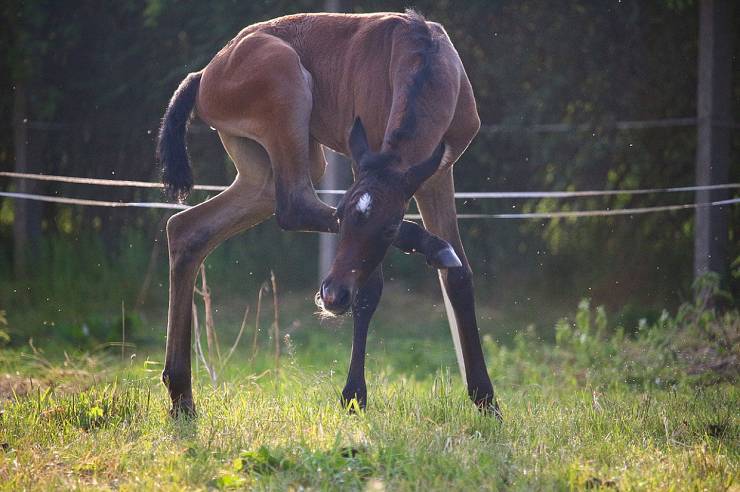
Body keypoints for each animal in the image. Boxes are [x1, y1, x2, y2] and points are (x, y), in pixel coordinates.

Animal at [156, 9, 500, 418]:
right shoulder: (363, 162)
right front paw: (354, 396)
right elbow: (370, 288)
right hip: (285, 83)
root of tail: (207, 73)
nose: (333, 295)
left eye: (389, 229)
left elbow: (459, 278)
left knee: (187, 228)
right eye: (341, 220)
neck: (424, 57)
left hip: (266, 170)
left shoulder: (437, 175)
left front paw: (486, 401)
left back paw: (181, 397)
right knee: (292, 204)